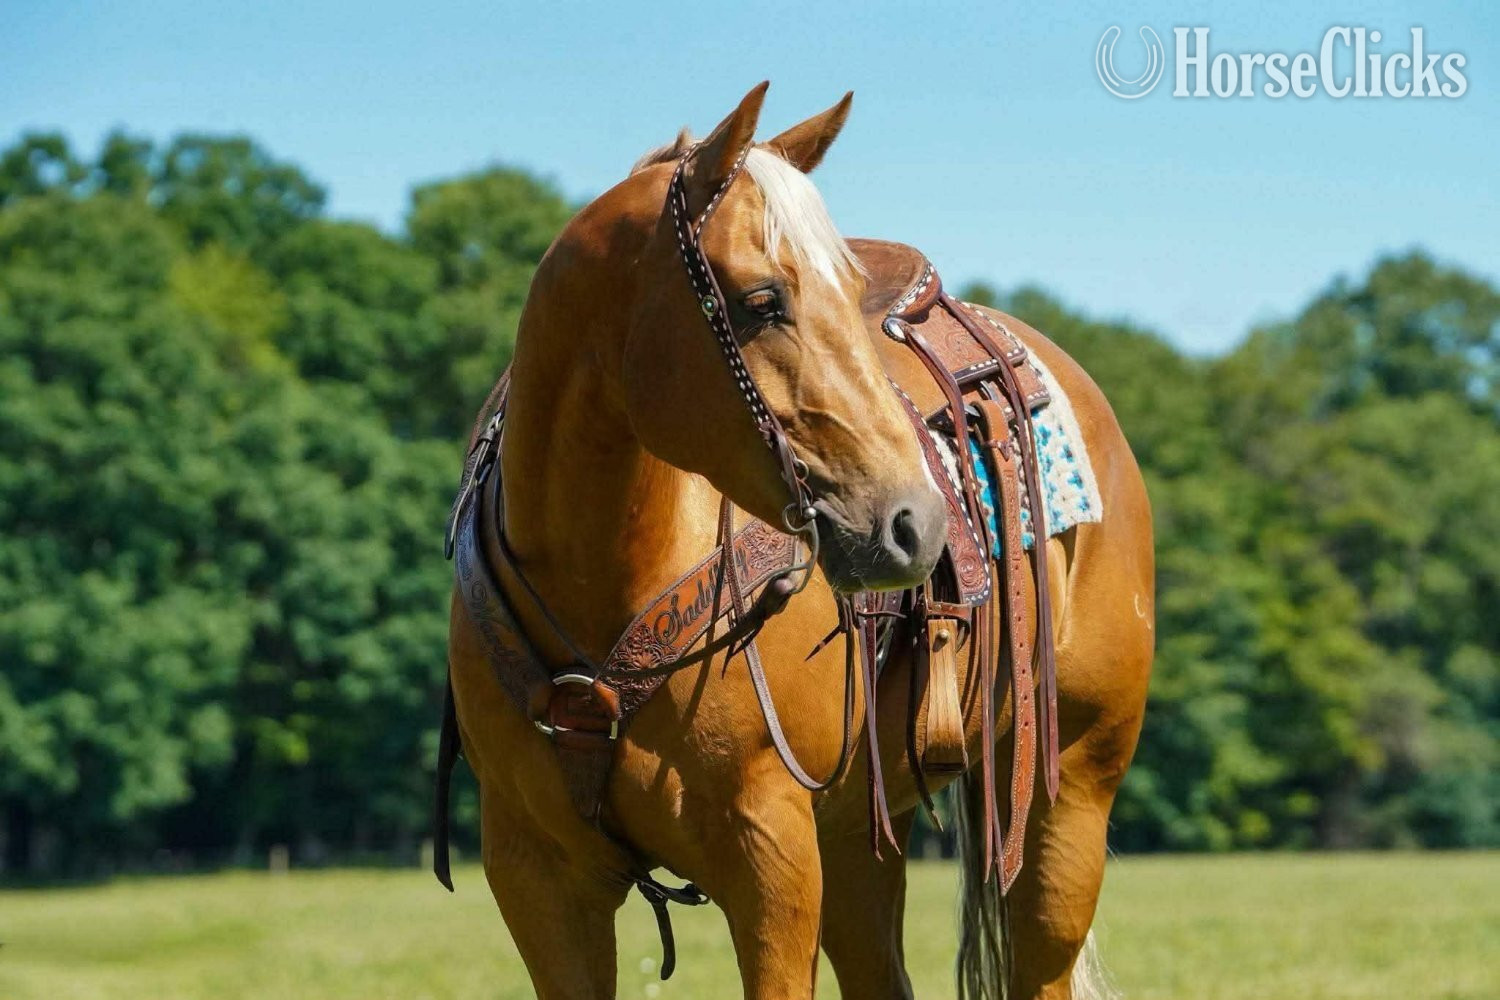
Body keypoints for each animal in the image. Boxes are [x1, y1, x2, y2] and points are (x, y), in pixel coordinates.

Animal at [442, 83, 1154, 999]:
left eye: (845, 292)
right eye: (760, 301)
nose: (915, 521)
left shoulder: (771, 857)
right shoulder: (537, 880)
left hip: (1069, 799)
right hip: (858, 836)